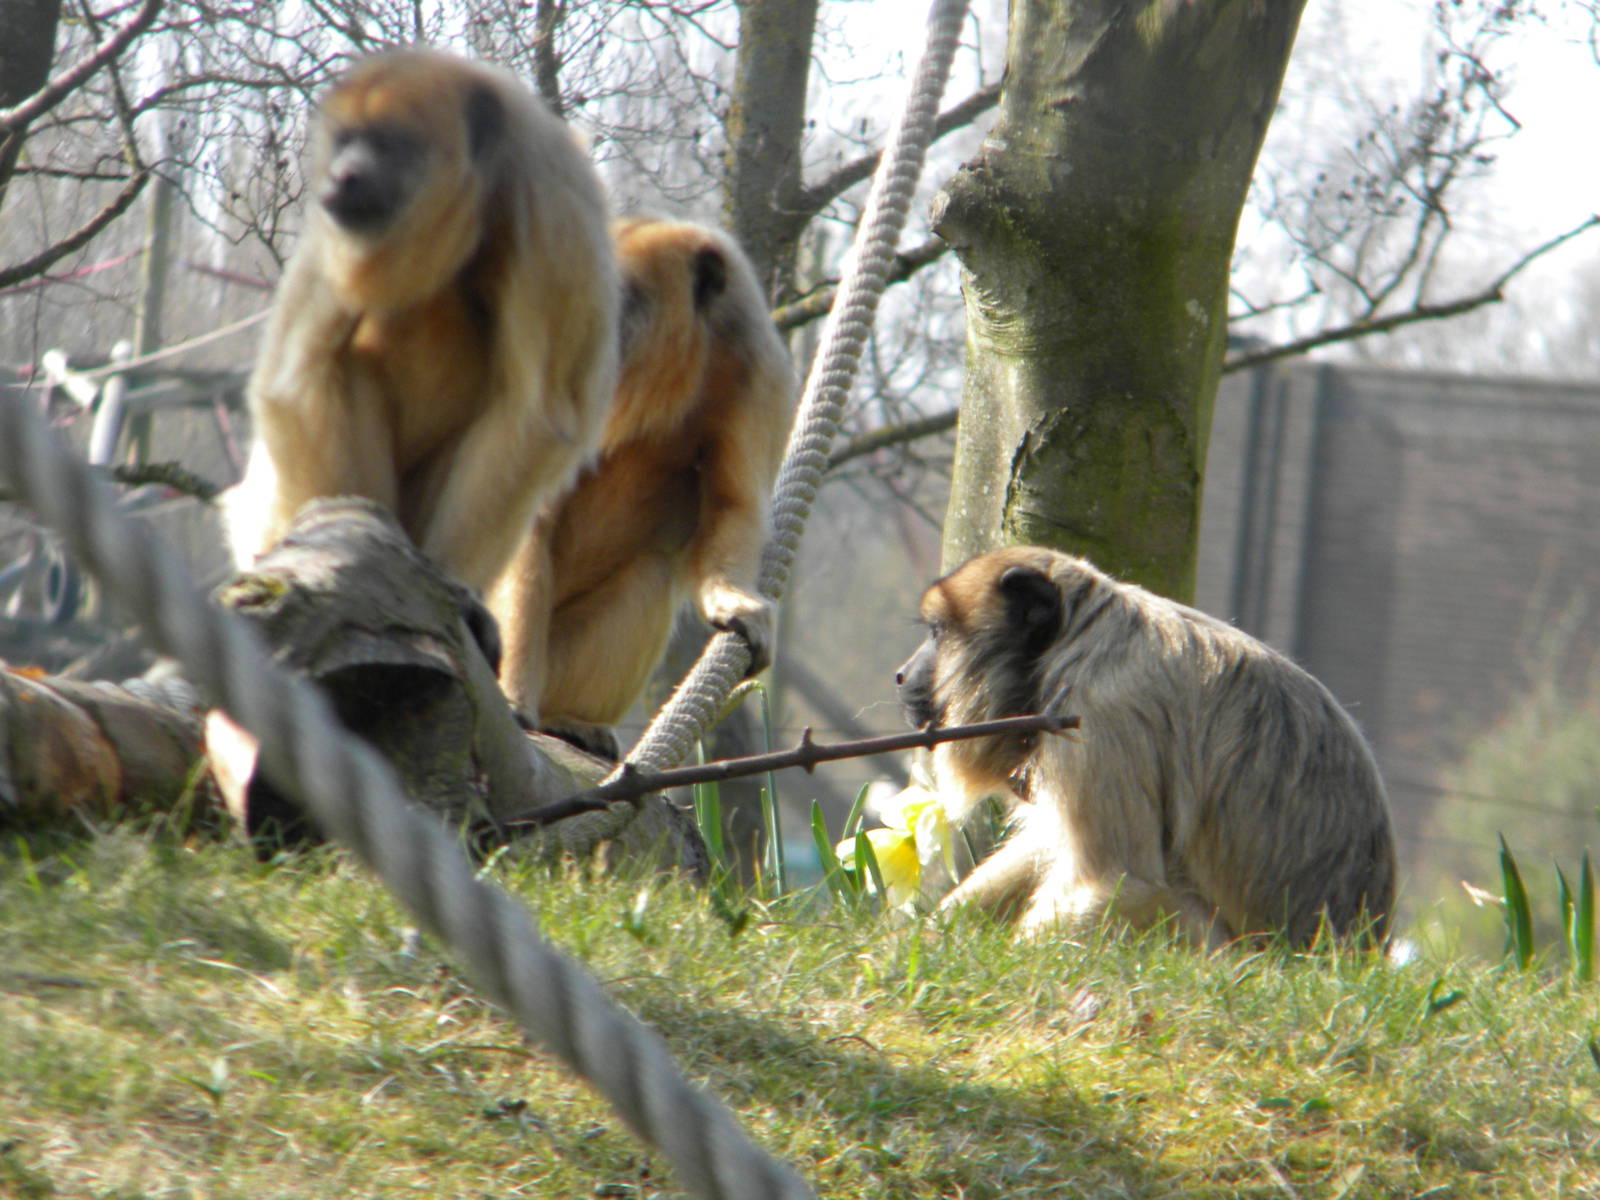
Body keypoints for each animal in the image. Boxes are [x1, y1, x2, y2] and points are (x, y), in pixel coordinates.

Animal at [222, 48, 618, 596]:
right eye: (346, 140)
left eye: (388, 143)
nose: (342, 174)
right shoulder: (330, 228)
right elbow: (293, 380)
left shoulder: (550, 211)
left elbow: (536, 416)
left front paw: (448, 577)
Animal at [491, 217, 794, 756]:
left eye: (626, 298)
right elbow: (529, 514)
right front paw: (513, 700)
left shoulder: (760, 373)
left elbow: (734, 506)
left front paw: (733, 601)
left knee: (651, 572)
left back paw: (567, 721)